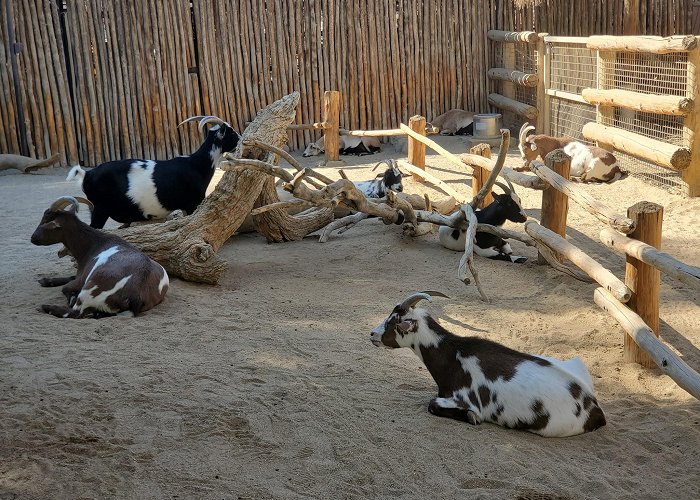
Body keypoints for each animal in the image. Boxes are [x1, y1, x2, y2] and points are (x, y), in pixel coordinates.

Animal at [30, 196, 170, 318]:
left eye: (46, 222)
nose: (33, 238)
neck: (93, 244)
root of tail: (137, 295)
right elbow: (70, 277)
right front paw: (45, 280)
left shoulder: (82, 278)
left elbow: (66, 288)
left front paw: (70, 296)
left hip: (89, 289)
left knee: (75, 312)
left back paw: (45, 307)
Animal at [66, 116, 241, 228]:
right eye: (231, 132)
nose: (241, 139)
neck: (196, 164)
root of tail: (86, 174)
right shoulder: (192, 204)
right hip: (100, 209)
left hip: (95, 208)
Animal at [372, 292, 608, 436]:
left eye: (392, 322)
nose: (372, 334)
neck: (453, 355)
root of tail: (594, 407)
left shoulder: (466, 399)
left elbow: (433, 404)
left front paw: (471, 417)